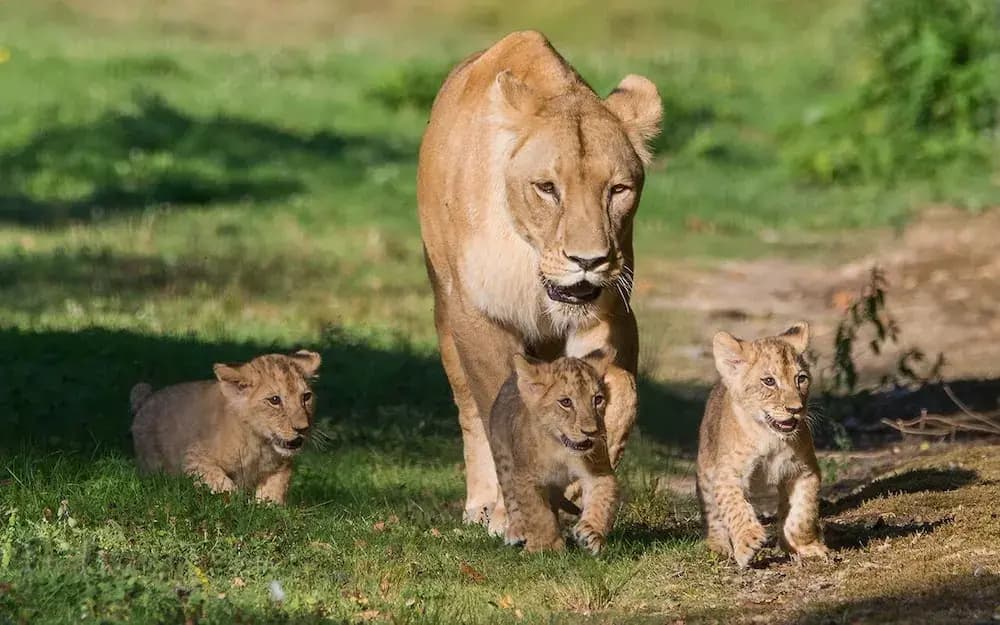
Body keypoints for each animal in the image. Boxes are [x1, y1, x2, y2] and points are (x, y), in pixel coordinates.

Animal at [129, 350, 321, 504]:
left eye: (306, 397)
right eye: (274, 400)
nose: (303, 428)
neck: (260, 445)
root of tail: (146, 398)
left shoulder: (281, 466)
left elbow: (276, 487)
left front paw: (267, 506)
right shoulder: (194, 457)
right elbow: (221, 483)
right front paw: (236, 504)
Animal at [417, 30, 662, 524]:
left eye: (618, 190)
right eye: (547, 188)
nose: (588, 260)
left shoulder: (611, 310)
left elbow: (622, 388)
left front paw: (584, 476)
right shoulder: (477, 314)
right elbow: (497, 402)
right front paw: (512, 510)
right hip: (444, 309)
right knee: (468, 407)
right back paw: (483, 506)